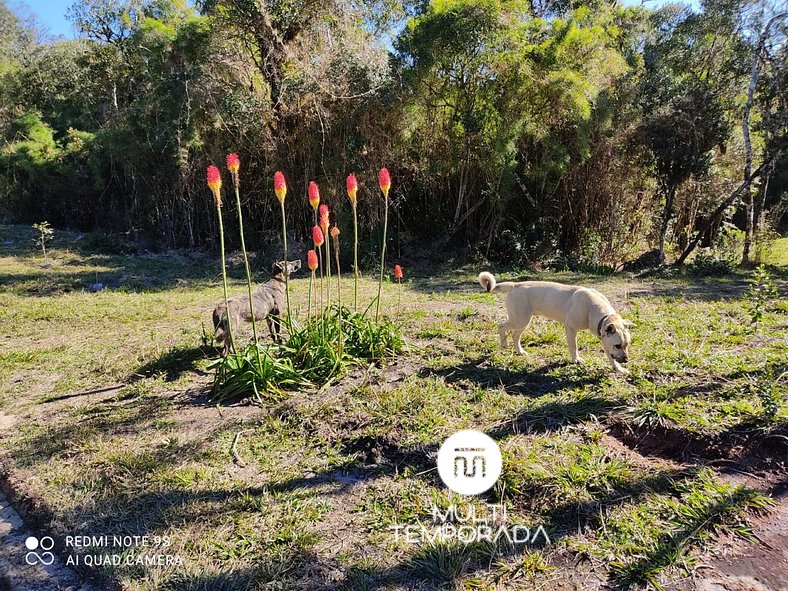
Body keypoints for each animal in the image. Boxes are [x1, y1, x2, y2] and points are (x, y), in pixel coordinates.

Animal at [478, 270, 632, 372]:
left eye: (626, 345)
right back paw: (504, 344)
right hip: (519, 320)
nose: (626, 360)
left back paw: (520, 351)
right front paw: (576, 359)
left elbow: (610, 356)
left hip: (524, 321)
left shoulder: (604, 340)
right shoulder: (571, 329)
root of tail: (516, 285)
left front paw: (618, 368)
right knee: (501, 326)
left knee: (515, 336)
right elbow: (574, 346)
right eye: (618, 345)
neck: (593, 309)